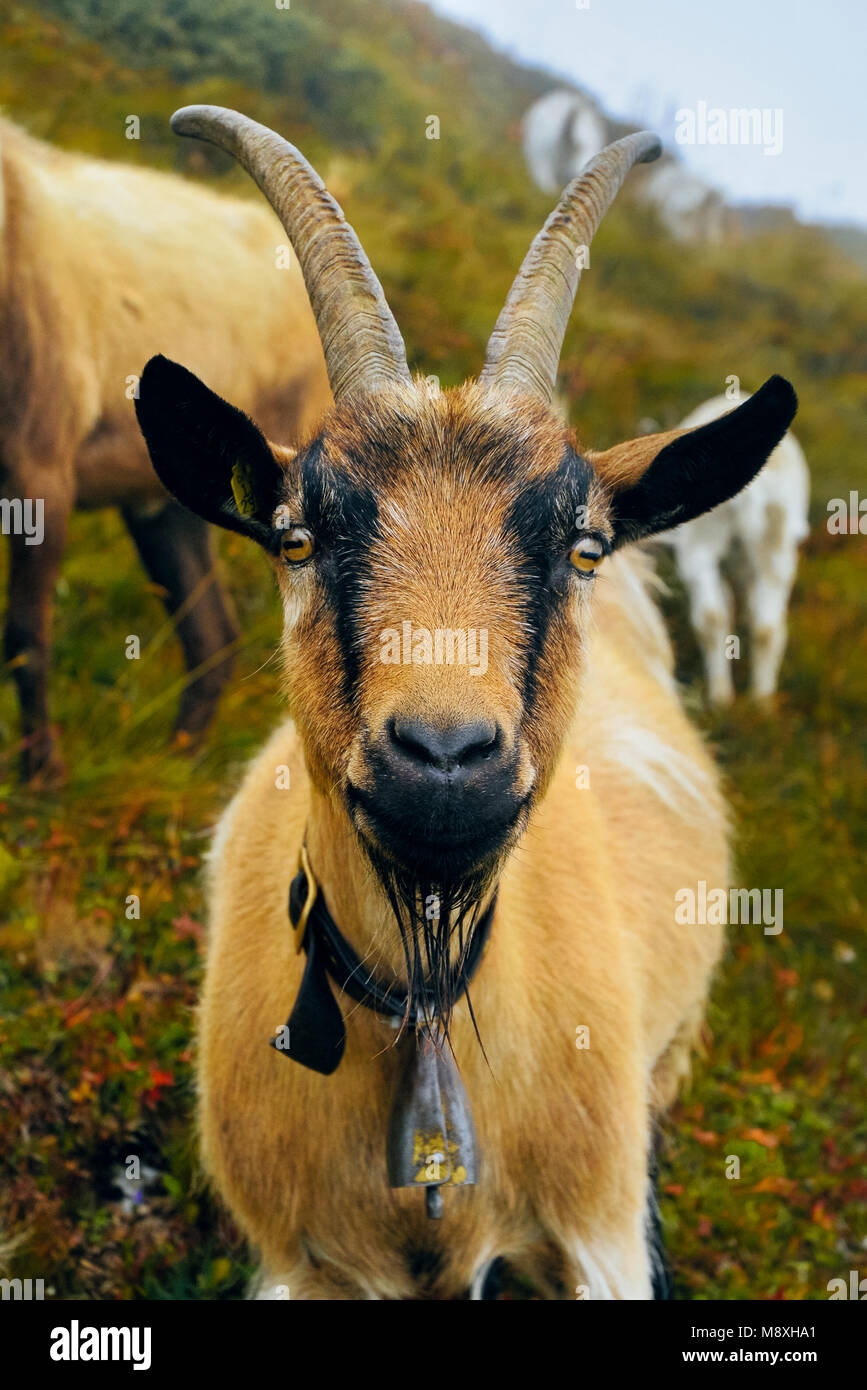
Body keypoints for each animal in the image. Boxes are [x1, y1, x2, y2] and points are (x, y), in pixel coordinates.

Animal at [0, 118, 332, 783]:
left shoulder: (40, 468)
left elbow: (25, 634)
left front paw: (43, 776)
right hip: (170, 505)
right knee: (213, 634)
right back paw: (180, 760)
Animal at [136, 102, 800, 1295]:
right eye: (296, 536)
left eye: (581, 546)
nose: (443, 762)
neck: (428, 1009)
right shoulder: (298, 1259)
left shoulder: (599, 1235)